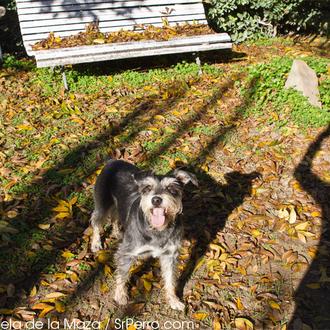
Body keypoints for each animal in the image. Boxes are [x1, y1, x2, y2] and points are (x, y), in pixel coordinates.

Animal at [89, 159, 197, 310]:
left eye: (171, 188)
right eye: (147, 188)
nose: (156, 200)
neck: (157, 230)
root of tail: (113, 160)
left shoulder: (170, 255)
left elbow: (170, 279)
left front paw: (173, 300)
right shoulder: (126, 253)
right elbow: (122, 274)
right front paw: (120, 295)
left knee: (115, 217)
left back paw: (118, 232)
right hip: (102, 204)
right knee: (96, 220)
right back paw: (96, 242)